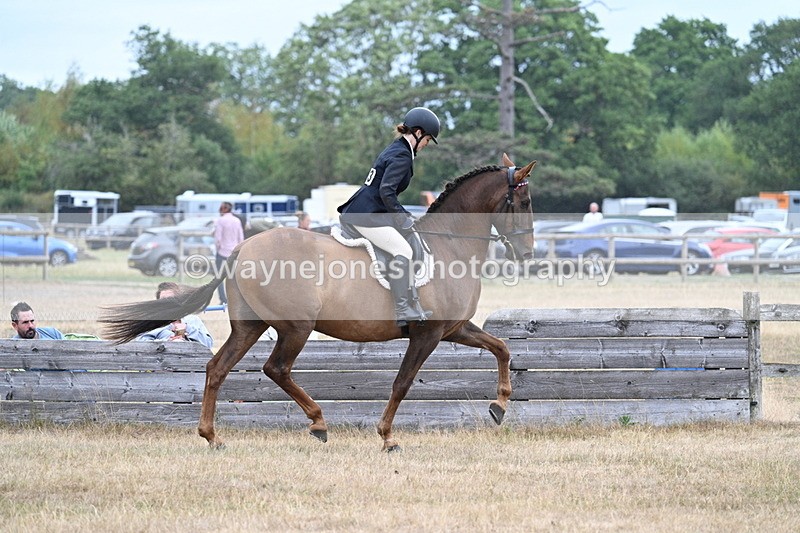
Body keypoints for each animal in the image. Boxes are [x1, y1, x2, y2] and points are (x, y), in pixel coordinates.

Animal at [101, 153, 536, 452]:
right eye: (525, 202)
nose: (528, 254)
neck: (451, 244)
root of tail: (241, 248)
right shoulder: (427, 334)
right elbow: (402, 382)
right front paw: (387, 437)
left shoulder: (455, 328)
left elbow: (501, 347)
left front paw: (499, 405)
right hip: (296, 327)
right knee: (276, 369)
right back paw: (318, 422)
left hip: (250, 325)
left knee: (217, 368)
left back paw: (213, 437)